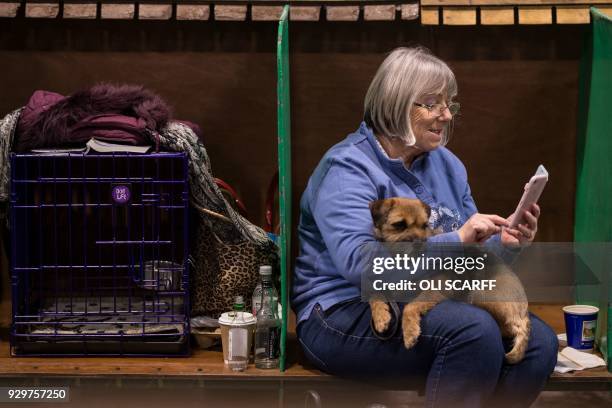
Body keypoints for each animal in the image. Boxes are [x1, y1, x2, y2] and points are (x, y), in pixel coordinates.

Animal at [368, 197, 532, 364]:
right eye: (399, 224)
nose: (420, 242)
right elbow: (373, 294)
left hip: (481, 294)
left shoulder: (435, 288)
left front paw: (409, 331)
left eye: (424, 225)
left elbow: (410, 307)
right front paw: (380, 316)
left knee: (516, 327)